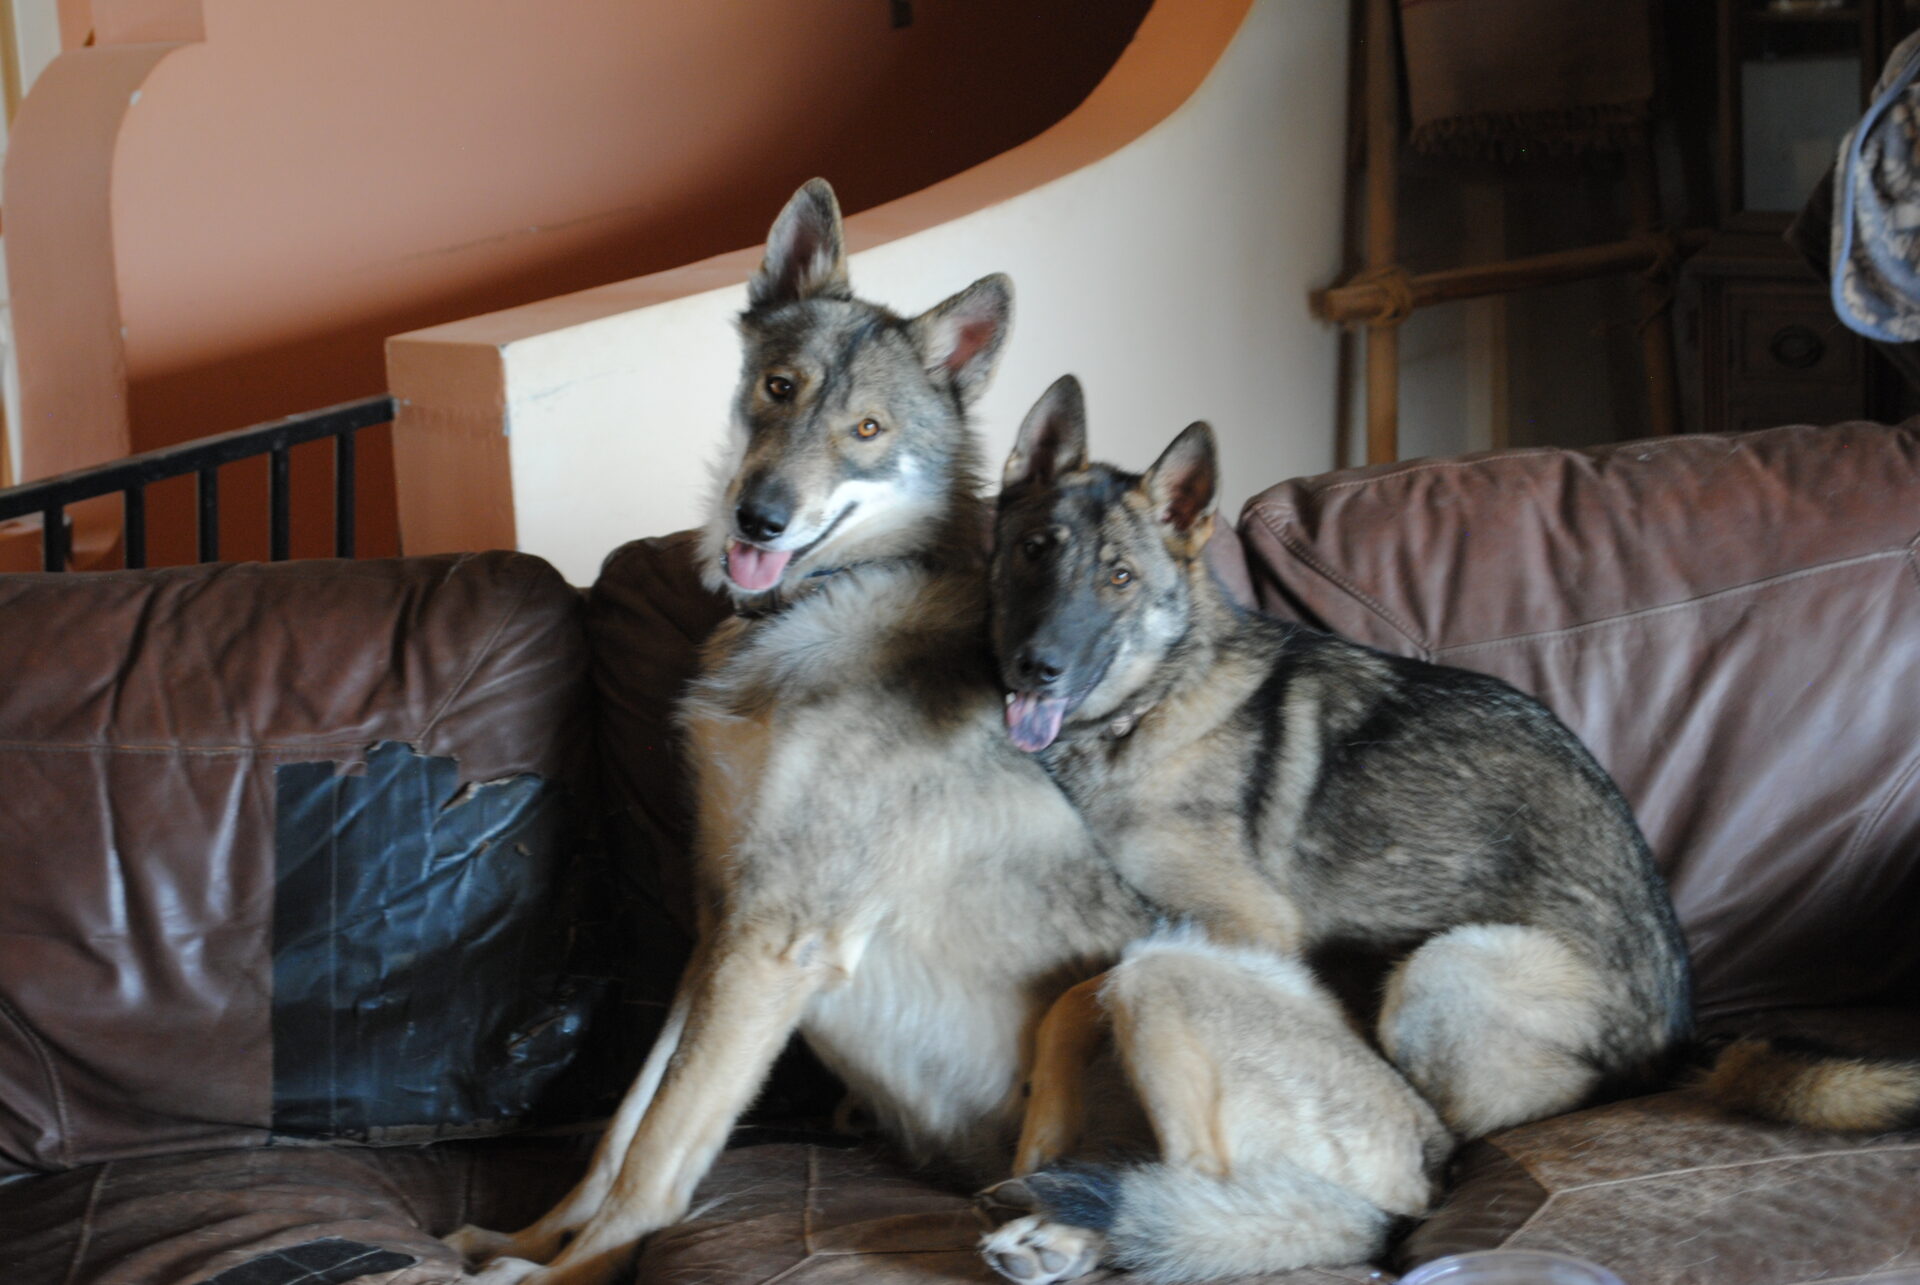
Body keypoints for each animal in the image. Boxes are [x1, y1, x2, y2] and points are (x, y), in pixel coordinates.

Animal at [449, 182, 1443, 1283]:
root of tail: (1424, 1164)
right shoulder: (716, 930)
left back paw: (1059, 1232)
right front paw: (523, 1244)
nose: (758, 519)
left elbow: (659, 1160)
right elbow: (622, 1130)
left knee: (1201, 1211)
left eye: (868, 428)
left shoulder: (773, 943)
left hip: (1157, 981)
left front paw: (565, 1272)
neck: (829, 597)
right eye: (779, 388)